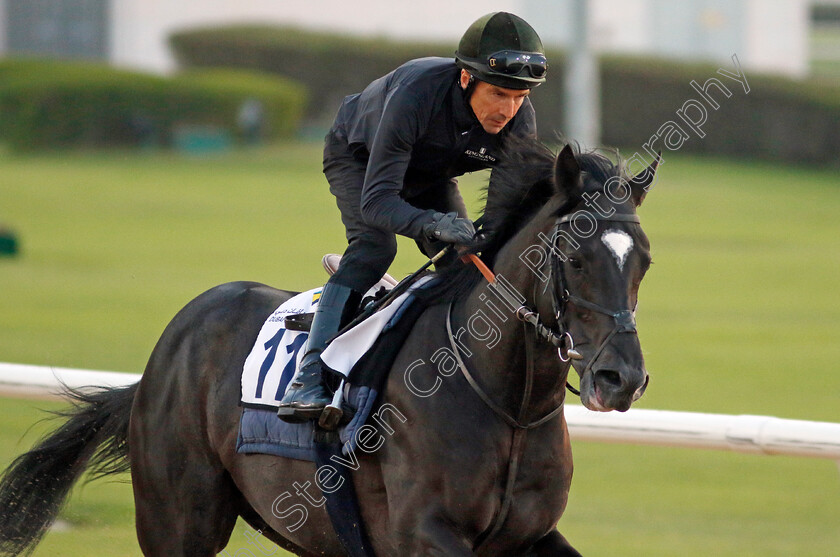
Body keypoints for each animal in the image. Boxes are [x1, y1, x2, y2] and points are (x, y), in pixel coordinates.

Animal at [0, 141, 656, 552]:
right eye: (576, 256)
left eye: (644, 261)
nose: (621, 379)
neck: (506, 401)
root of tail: (165, 354)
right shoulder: (424, 534)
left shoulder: (529, 534)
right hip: (178, 518)